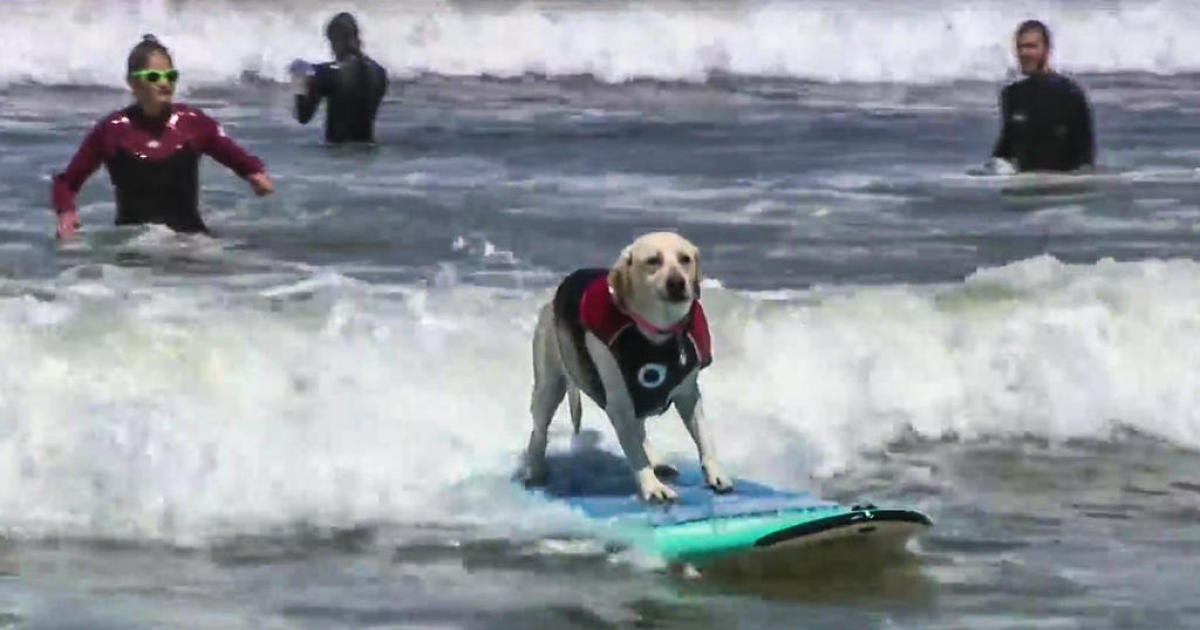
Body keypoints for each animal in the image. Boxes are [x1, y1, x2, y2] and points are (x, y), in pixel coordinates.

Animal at [523, 230, 729, 501]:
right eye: (653, 261)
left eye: (685, 259)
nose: (677, 282)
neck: (657, 332)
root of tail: (549, 303)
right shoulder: (619, 404)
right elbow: (636, 453)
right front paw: (652, 487)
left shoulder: (688, 396)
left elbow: (704, 438)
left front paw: (716, 474)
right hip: (549, 386)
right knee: (539, 430)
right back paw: (535, 470)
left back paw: (657, 461)